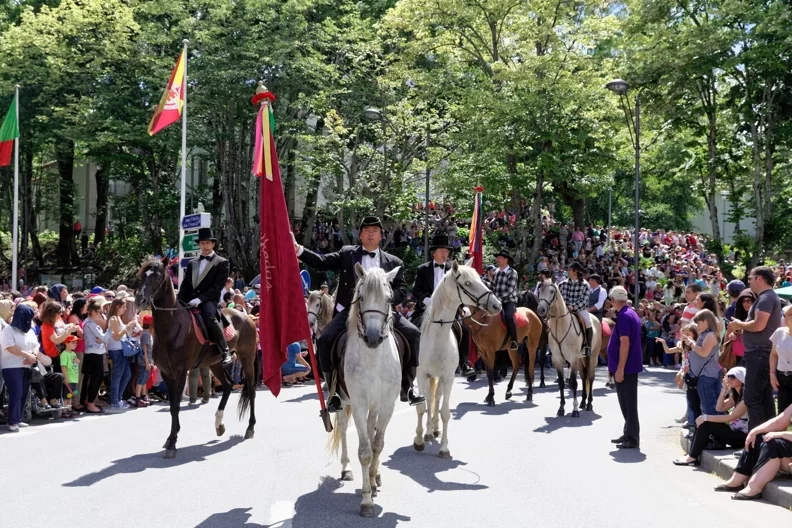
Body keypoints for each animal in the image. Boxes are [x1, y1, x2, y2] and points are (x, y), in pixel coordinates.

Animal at [135, 256, 256, 458]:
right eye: (142, 275)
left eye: (158, 276)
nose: (140, 300)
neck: (171, 326)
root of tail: (246, 316)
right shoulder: (167, 373)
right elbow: (172, 406)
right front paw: (171, 438)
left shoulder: (180, 371)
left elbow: (175, 406)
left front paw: (172, 443)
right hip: (215, 363)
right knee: (228, 385)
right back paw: (219, 425)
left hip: (247, 359)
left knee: (252, 391)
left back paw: (250, 428)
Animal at [328, 262, 402, 516]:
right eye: (360, 297)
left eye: (389, 298)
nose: (372, 337)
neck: (374, 358)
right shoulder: (359, 405)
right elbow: (365, 451)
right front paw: (367, 500)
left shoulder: (387, 405)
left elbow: (377, 444)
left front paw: (372, 480)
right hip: (344, 401)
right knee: (343, 427)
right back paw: (347, 469)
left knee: (372, 432)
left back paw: (374, 476)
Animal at [412, 260, 498, 458]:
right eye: (467, 283)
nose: (497, 306)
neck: (437, 337)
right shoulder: (421, 374)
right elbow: (421, 407)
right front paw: (419, 441)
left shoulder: (448, 377)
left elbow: (444, 411)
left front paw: (444, 447)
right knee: (430, 399)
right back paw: (428, 432)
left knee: (436, 398)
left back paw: (434, 430)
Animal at [536, 278, 604, 418]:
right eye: (540, 290)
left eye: (552, 291)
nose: (541, 309)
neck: (561, 326)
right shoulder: (557, 360)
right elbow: (562, 383)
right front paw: (561, 408)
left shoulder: (572, 360)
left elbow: (573, 383)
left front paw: (575, 410)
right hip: (581, 359)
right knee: (584, 377)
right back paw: (583, 402)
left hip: (592, 357)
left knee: (590, 377)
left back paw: (589, 404)